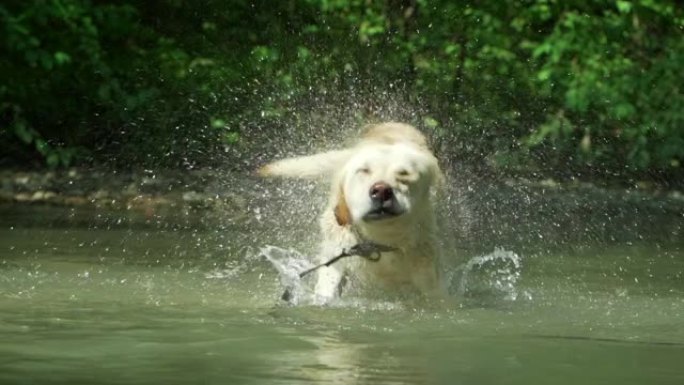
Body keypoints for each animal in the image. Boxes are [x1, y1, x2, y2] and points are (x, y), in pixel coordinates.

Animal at [260, 122, 446, 304]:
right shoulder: (336, 255)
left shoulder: (427, 275)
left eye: (404, 174)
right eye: (363, 170)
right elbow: (326, 289)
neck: (380, 241)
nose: (381, 190)